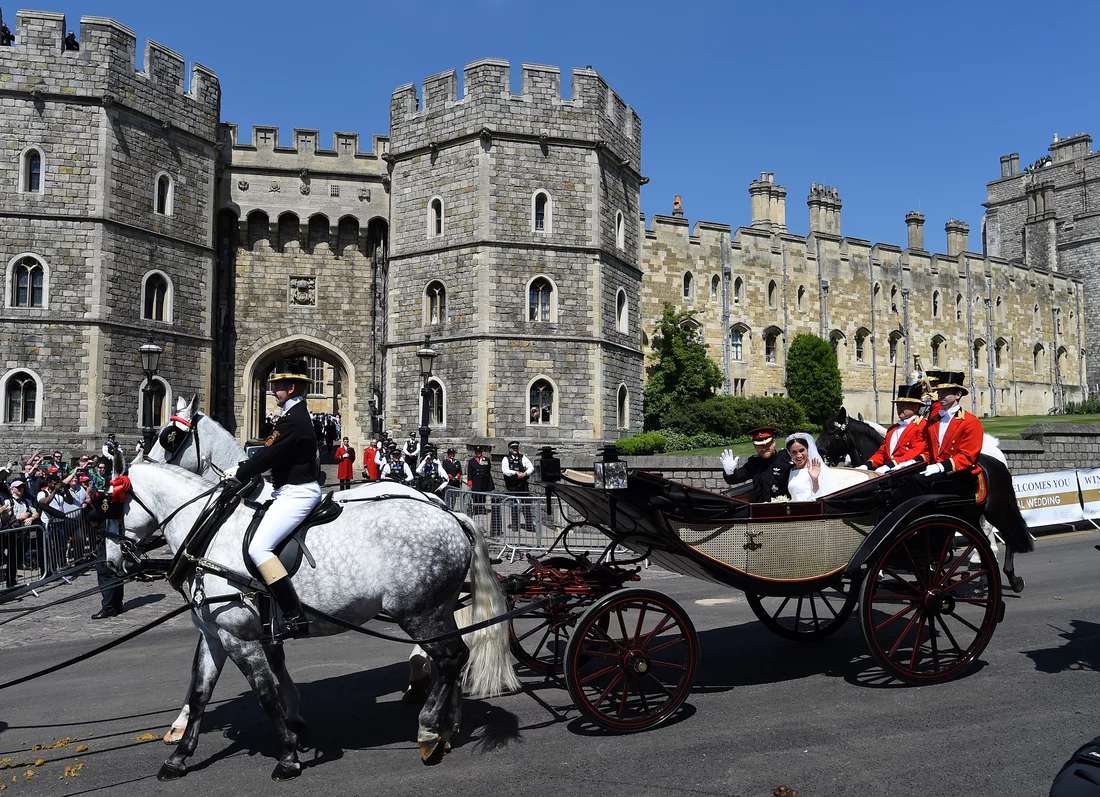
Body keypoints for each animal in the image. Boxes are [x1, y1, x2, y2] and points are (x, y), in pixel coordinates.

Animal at [116, 457, 519, 778]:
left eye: (112, 504)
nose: (117, 560)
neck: (211, 534)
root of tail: (450, 514)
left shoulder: (240, 638)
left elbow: (266, 694)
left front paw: (288, 755)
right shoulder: (217, 634)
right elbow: (200, 692)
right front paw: (179, 757)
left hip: (421, 613)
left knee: (450, 658)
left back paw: (429, 729)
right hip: (438, 610)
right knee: (453, 658)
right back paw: (447, 728)